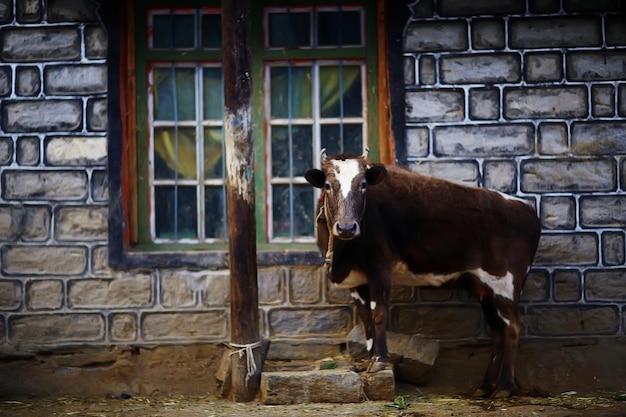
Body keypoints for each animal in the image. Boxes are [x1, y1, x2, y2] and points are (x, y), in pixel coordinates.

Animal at [304, 149, 540, 396]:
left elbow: (379, 313)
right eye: (328, 185)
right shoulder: (357, 281)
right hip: (486, 289)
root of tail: (527, 208)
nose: (347, 227)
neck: (343, 254)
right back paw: (485, 386)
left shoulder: (380, 267)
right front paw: (369, 359)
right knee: (496, 331)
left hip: (506, 283)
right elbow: (365, 319)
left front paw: (379, 360)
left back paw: (504, 387)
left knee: (513, 326)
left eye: (363, 184)